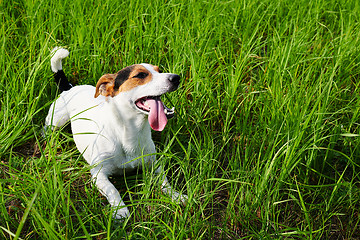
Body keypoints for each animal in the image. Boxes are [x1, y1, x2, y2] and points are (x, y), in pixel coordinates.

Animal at [45, 47, 187, 219]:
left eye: (160, 70)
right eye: (140, 75)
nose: (176, 78)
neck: (129, 133)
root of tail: (70, 88)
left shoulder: (153, 164)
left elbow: (164, 180)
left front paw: (176, 195)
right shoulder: (98, 174)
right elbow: (113, 190)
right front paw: (120, 209)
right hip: (56, 120)